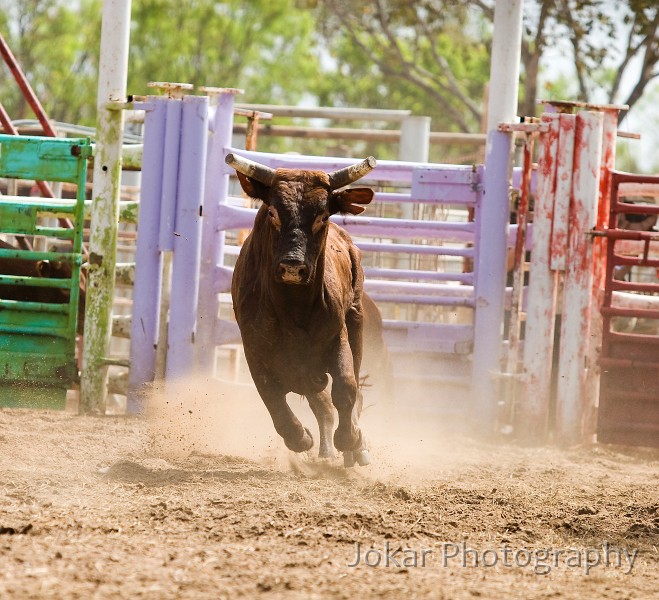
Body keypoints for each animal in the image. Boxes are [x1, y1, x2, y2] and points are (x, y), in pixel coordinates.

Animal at [228, 152, 376, 466]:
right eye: (272, 212)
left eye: (322, 216)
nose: (293, 266)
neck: (292, 309)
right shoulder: (254, 348)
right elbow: (272, 396)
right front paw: (300, 438)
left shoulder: (337, 337)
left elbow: (346, 387)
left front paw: (351, 439)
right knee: (321, 404)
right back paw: (324, 451)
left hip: (356, 320)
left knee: (350, 390)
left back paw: (353, 449)